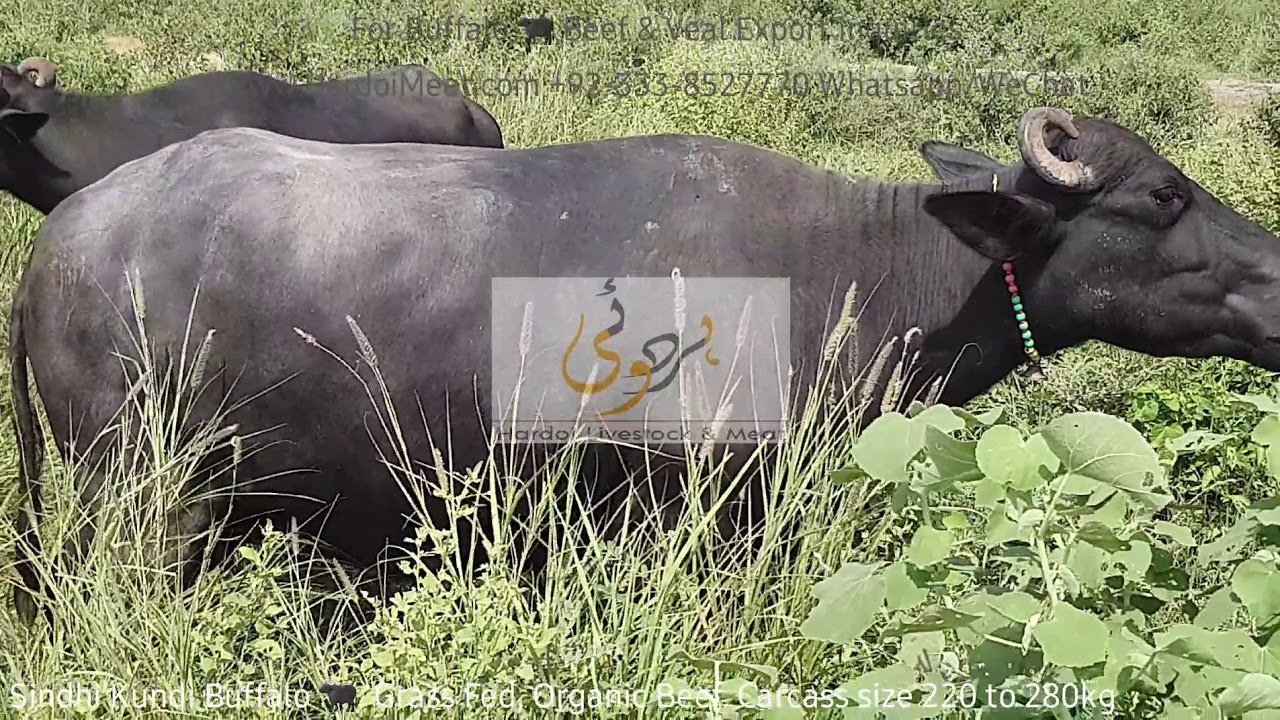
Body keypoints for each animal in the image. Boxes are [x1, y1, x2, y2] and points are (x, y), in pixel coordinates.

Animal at [13, 106, 1280, 623]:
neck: (852, 268)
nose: (1276, 276)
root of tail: (64, 244)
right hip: (135, 500)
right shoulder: (690, 513)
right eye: (1162, 195)